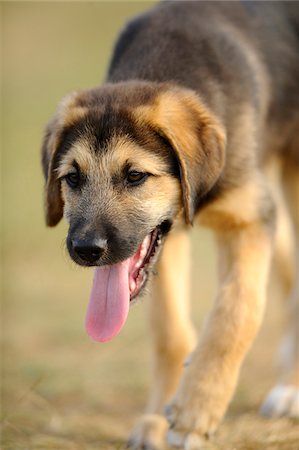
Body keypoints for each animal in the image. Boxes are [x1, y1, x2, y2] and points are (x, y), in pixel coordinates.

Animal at [41, 0, 298, 450]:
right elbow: (169, 331)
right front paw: (157, 420)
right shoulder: (166, 239)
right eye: (72, 177)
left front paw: (197, 409)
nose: (86, 250)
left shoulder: (248, 218)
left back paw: (289, 389)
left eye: (135, 176)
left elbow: (237, 309)